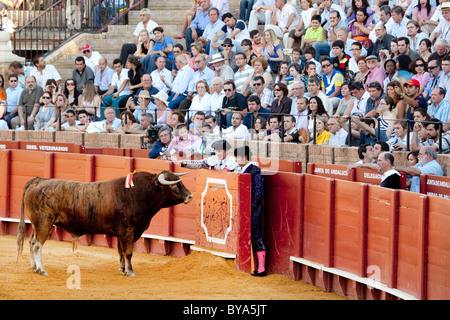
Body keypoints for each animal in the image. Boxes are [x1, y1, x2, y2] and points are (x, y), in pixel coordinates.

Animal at [15, 171, 192, 276]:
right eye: (174, 184)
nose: (190, 196)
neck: (140, 193)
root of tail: (38, 180)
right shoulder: (128, 231)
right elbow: (128, 252)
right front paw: (130, 271)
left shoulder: (121, 233)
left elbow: (121, 252)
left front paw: (122, 270)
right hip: (44, 223)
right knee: (37, 245)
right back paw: (41, 269)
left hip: (37, 225)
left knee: (31, 242)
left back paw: (34, 267)